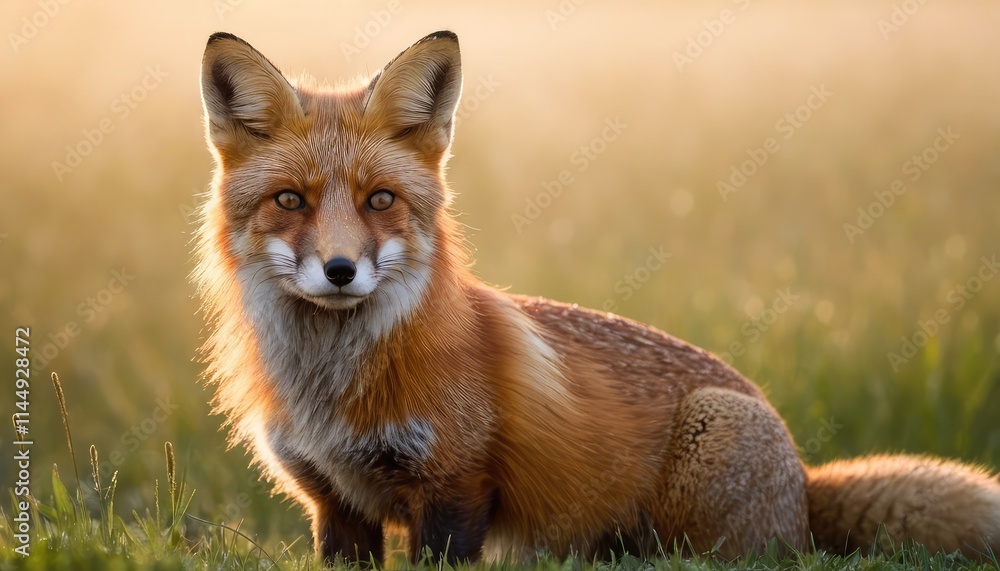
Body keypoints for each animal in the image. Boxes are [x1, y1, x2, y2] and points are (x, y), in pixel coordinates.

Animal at [194, 30, 1000, 564]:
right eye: (290, 200)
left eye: (380, 200)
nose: (339, 270)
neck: (332, 391)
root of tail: (805, 483)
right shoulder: (334, 503)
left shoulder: (456, 487)